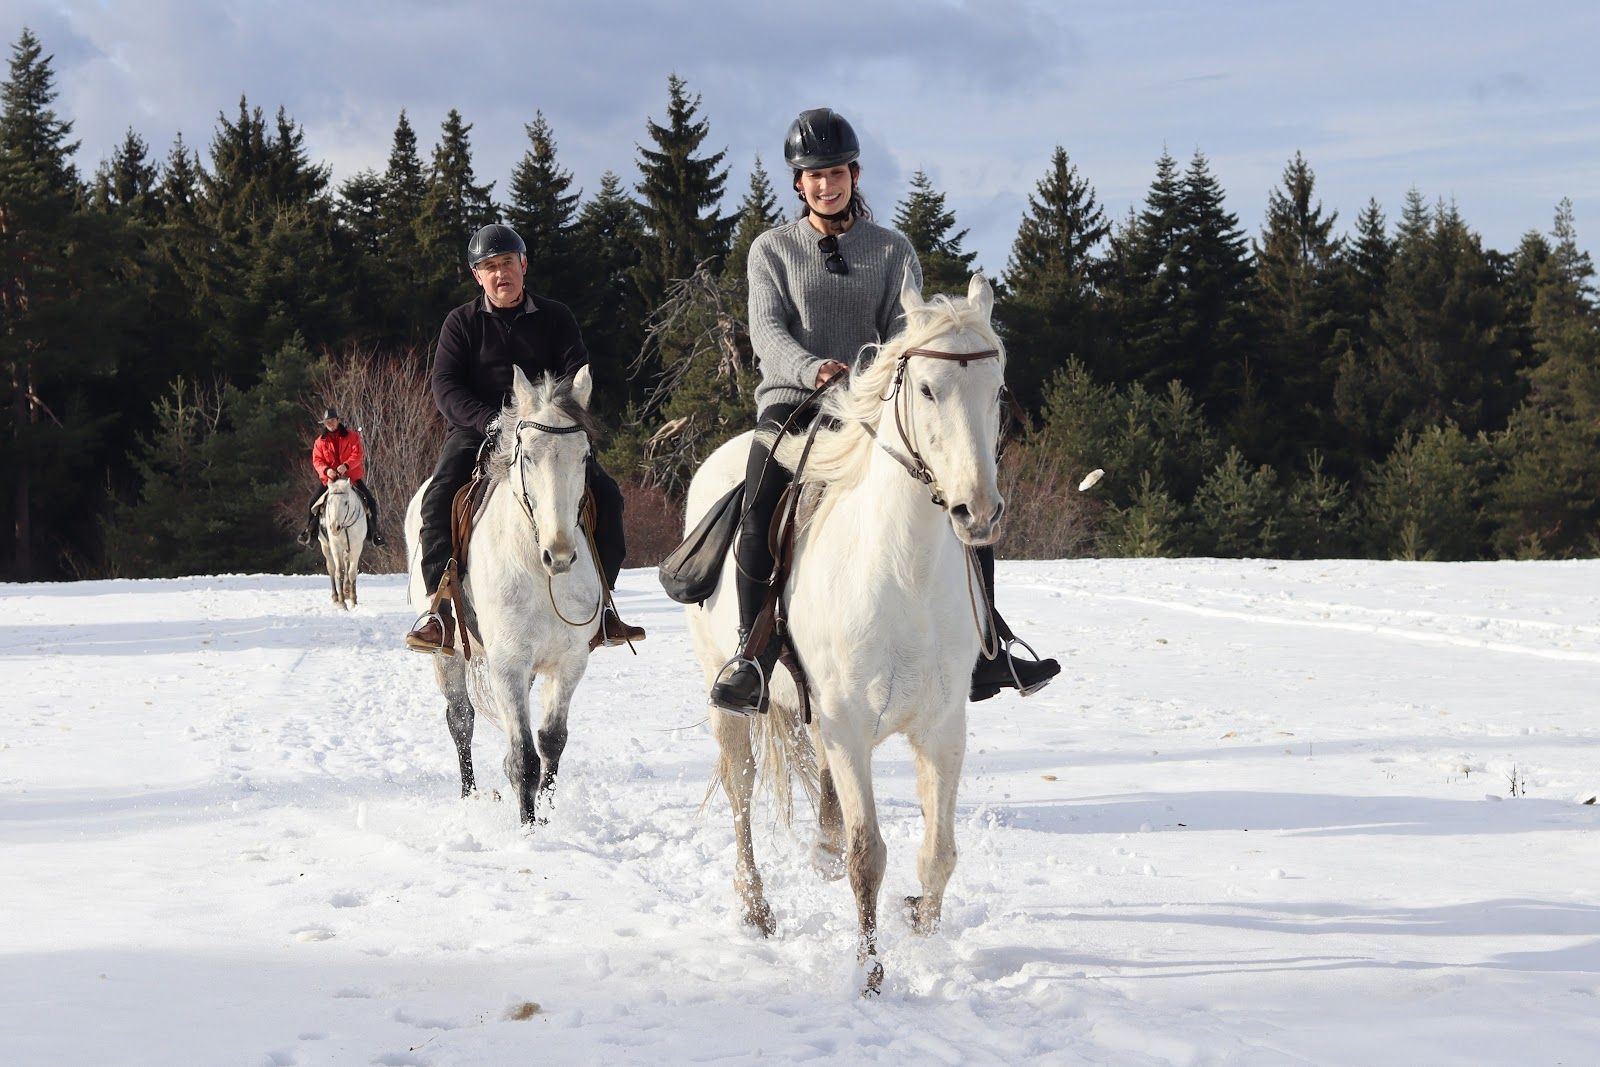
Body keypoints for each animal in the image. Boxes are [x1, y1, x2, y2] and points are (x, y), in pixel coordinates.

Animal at [317, 477, 367, 608]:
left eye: (346, 502)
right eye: (329, 502)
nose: (335, 527)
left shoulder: (356, 547)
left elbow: (352, 572)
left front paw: (353, 601)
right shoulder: (335, 547)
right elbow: (338, 572)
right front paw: (342, 602)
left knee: (346, 564)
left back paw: (346, 590)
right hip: (325, 546)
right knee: (331, 568)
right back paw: (336, 596)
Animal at [403, 365, 604, 826]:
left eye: (585, 457)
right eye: (526, 455)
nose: (560, 554)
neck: (538, 570)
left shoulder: (570, 663)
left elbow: (551, 742)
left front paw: (546, 813)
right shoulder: (508, 664)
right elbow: (523, 758)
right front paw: (528, 829)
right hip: (449, 655)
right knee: (460, 720)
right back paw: (470, 795)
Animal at [685, 274, 1008, 996]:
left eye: (997, 388)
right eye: (926, 389)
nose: (977, 511)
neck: (904, 572)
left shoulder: (942, 728)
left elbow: (938, 853)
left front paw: (920, 923)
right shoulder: (847, 726)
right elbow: (869, 856)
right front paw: (870, 973)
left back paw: (821, 850)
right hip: (730, 702)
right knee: (741, 793)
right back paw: (757, 908)